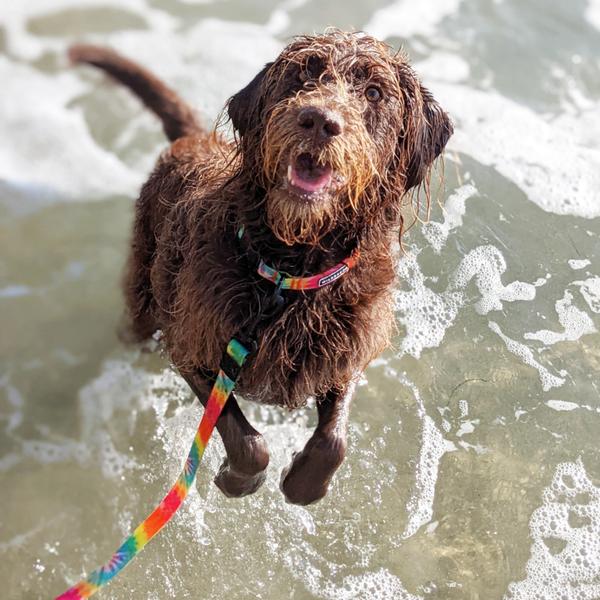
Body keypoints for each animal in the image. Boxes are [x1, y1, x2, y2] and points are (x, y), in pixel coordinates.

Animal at [70, 29, 452, 506]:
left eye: (374, 92)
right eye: (302, 74)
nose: (318, 120)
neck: (288, 276)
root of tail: (195, 139)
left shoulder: (346, 348)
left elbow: (334, 439)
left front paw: (304, 484)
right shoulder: (193, 342)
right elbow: (245, 437)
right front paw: (239, 480)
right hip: (144, 295)